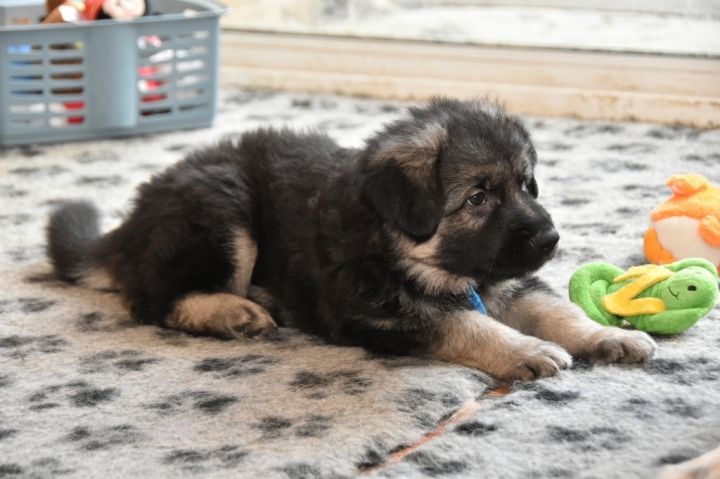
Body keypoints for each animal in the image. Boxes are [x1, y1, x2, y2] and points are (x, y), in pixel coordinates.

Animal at [47, 98, 656, 381]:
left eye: (527, 186)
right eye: (478, 199)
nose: (552, 238)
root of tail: (130, 222)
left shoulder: (508, 281)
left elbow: (555, 310)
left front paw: (606, 334)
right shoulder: (381, 311)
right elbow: (466, 323)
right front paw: (524, 350)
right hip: (222, 209)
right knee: (154, 300)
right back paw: (232, 311)